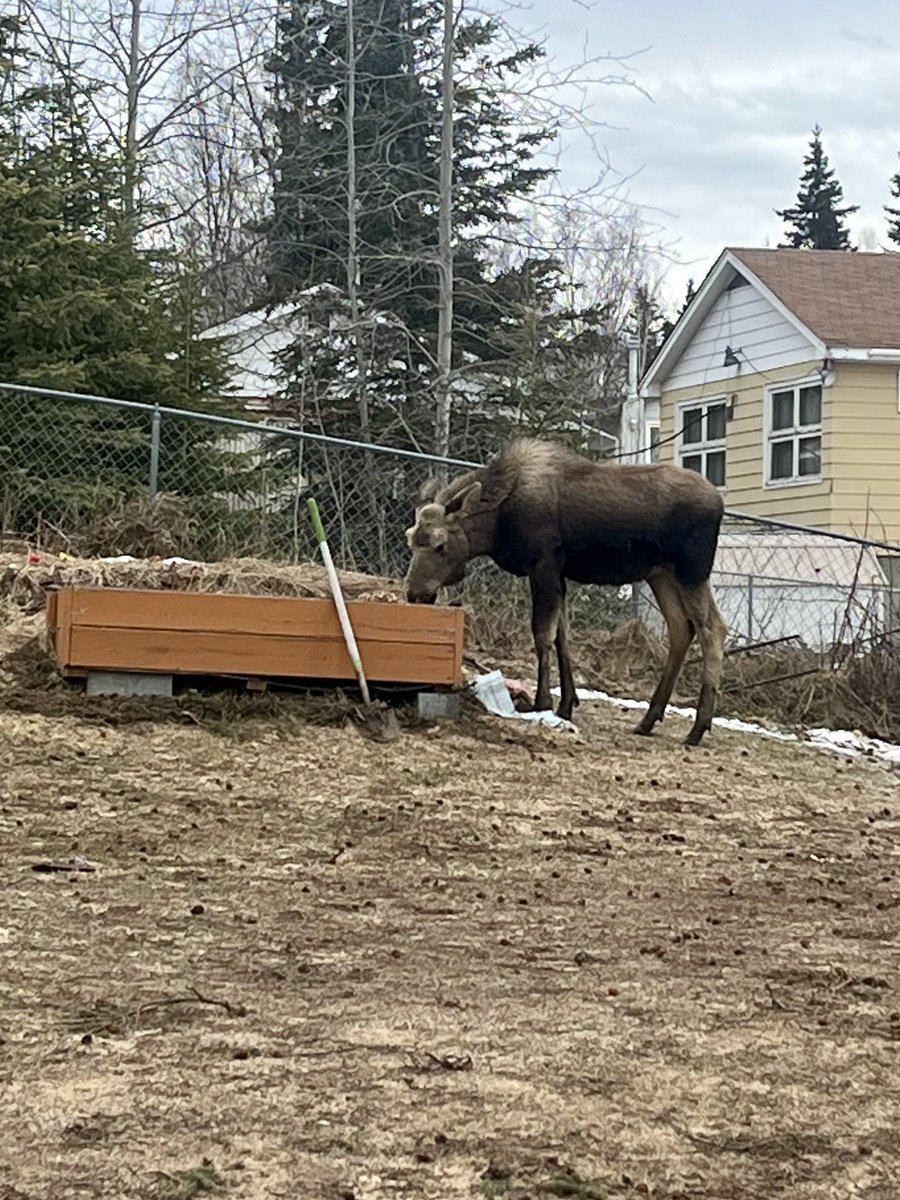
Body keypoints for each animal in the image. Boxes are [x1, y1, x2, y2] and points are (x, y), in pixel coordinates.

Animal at [405, 436, 729, 744]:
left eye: (440, 544)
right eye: (411, 538)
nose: (414, 593)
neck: (496, 526)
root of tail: (720, 503)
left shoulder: (543, 564)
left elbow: (542, 635)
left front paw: (543, 702)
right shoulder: (558, 574)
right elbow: (562, 636)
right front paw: (566, 705)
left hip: (691, 571)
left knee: (713, 629)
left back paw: (698, 727)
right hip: (661, 574)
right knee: (681, 628)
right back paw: (649, 718)